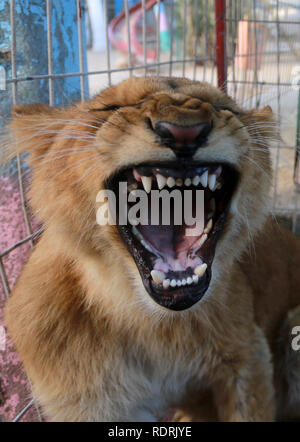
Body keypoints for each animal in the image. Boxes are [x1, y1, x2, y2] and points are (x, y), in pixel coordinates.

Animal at [3, 76, 300, 422]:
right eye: (111, 107)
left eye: (224, 107)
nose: (185, 131)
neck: (152, 323)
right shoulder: (89, 402)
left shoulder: (248, 355)